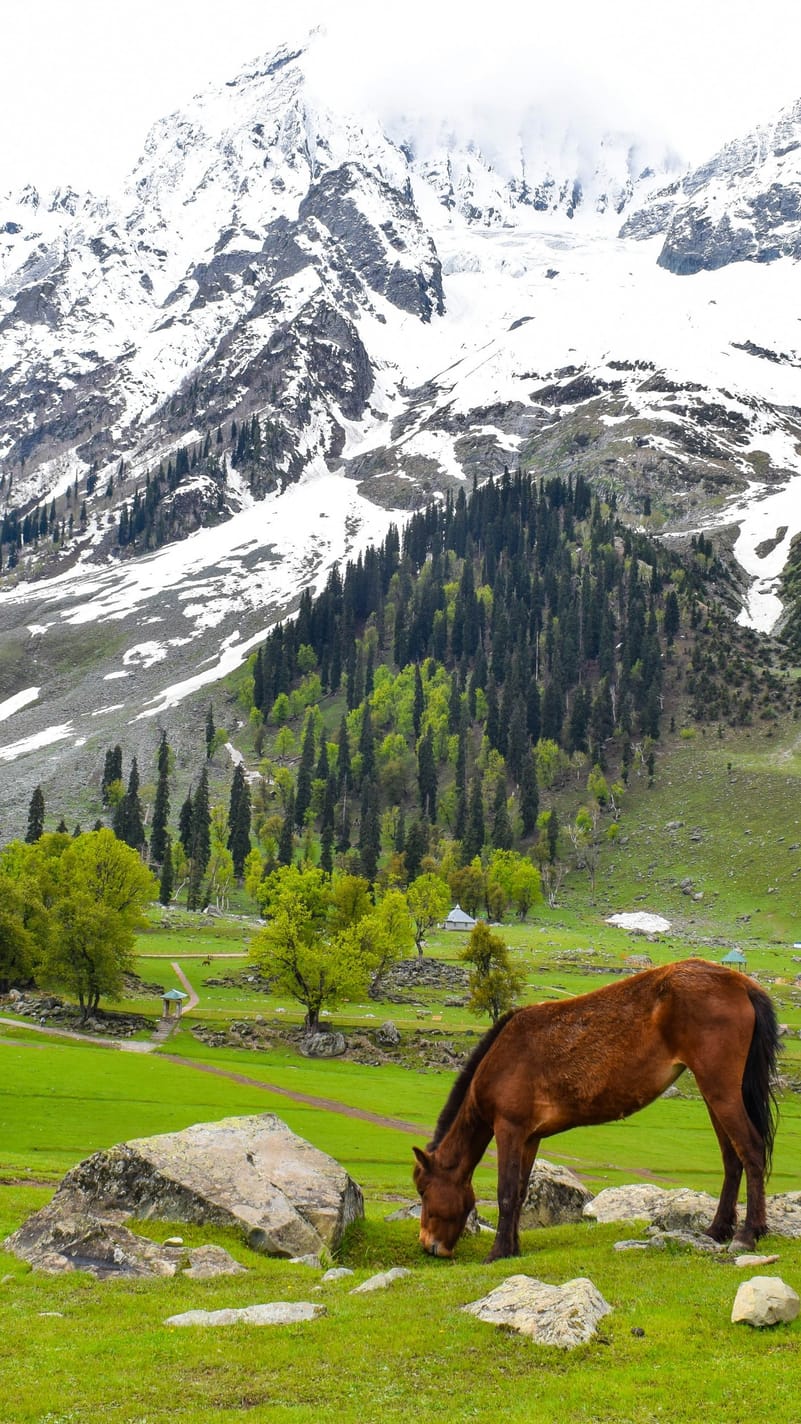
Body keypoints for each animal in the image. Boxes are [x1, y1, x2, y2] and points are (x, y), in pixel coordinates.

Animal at [413, 958, 779, 1261]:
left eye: (423, 1189)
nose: (429, 1245)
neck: (502, 1058)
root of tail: (741, 983)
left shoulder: (509, 1129)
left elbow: (505, 1192)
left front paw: (498, 1252)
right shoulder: (530, 1138)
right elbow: (519, 1192)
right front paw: (513, 1248)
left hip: (720, 1090)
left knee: (751, 1148)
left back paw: (748, 1234)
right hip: (714, 1094)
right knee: (732, 1158)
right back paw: (718, 1229)